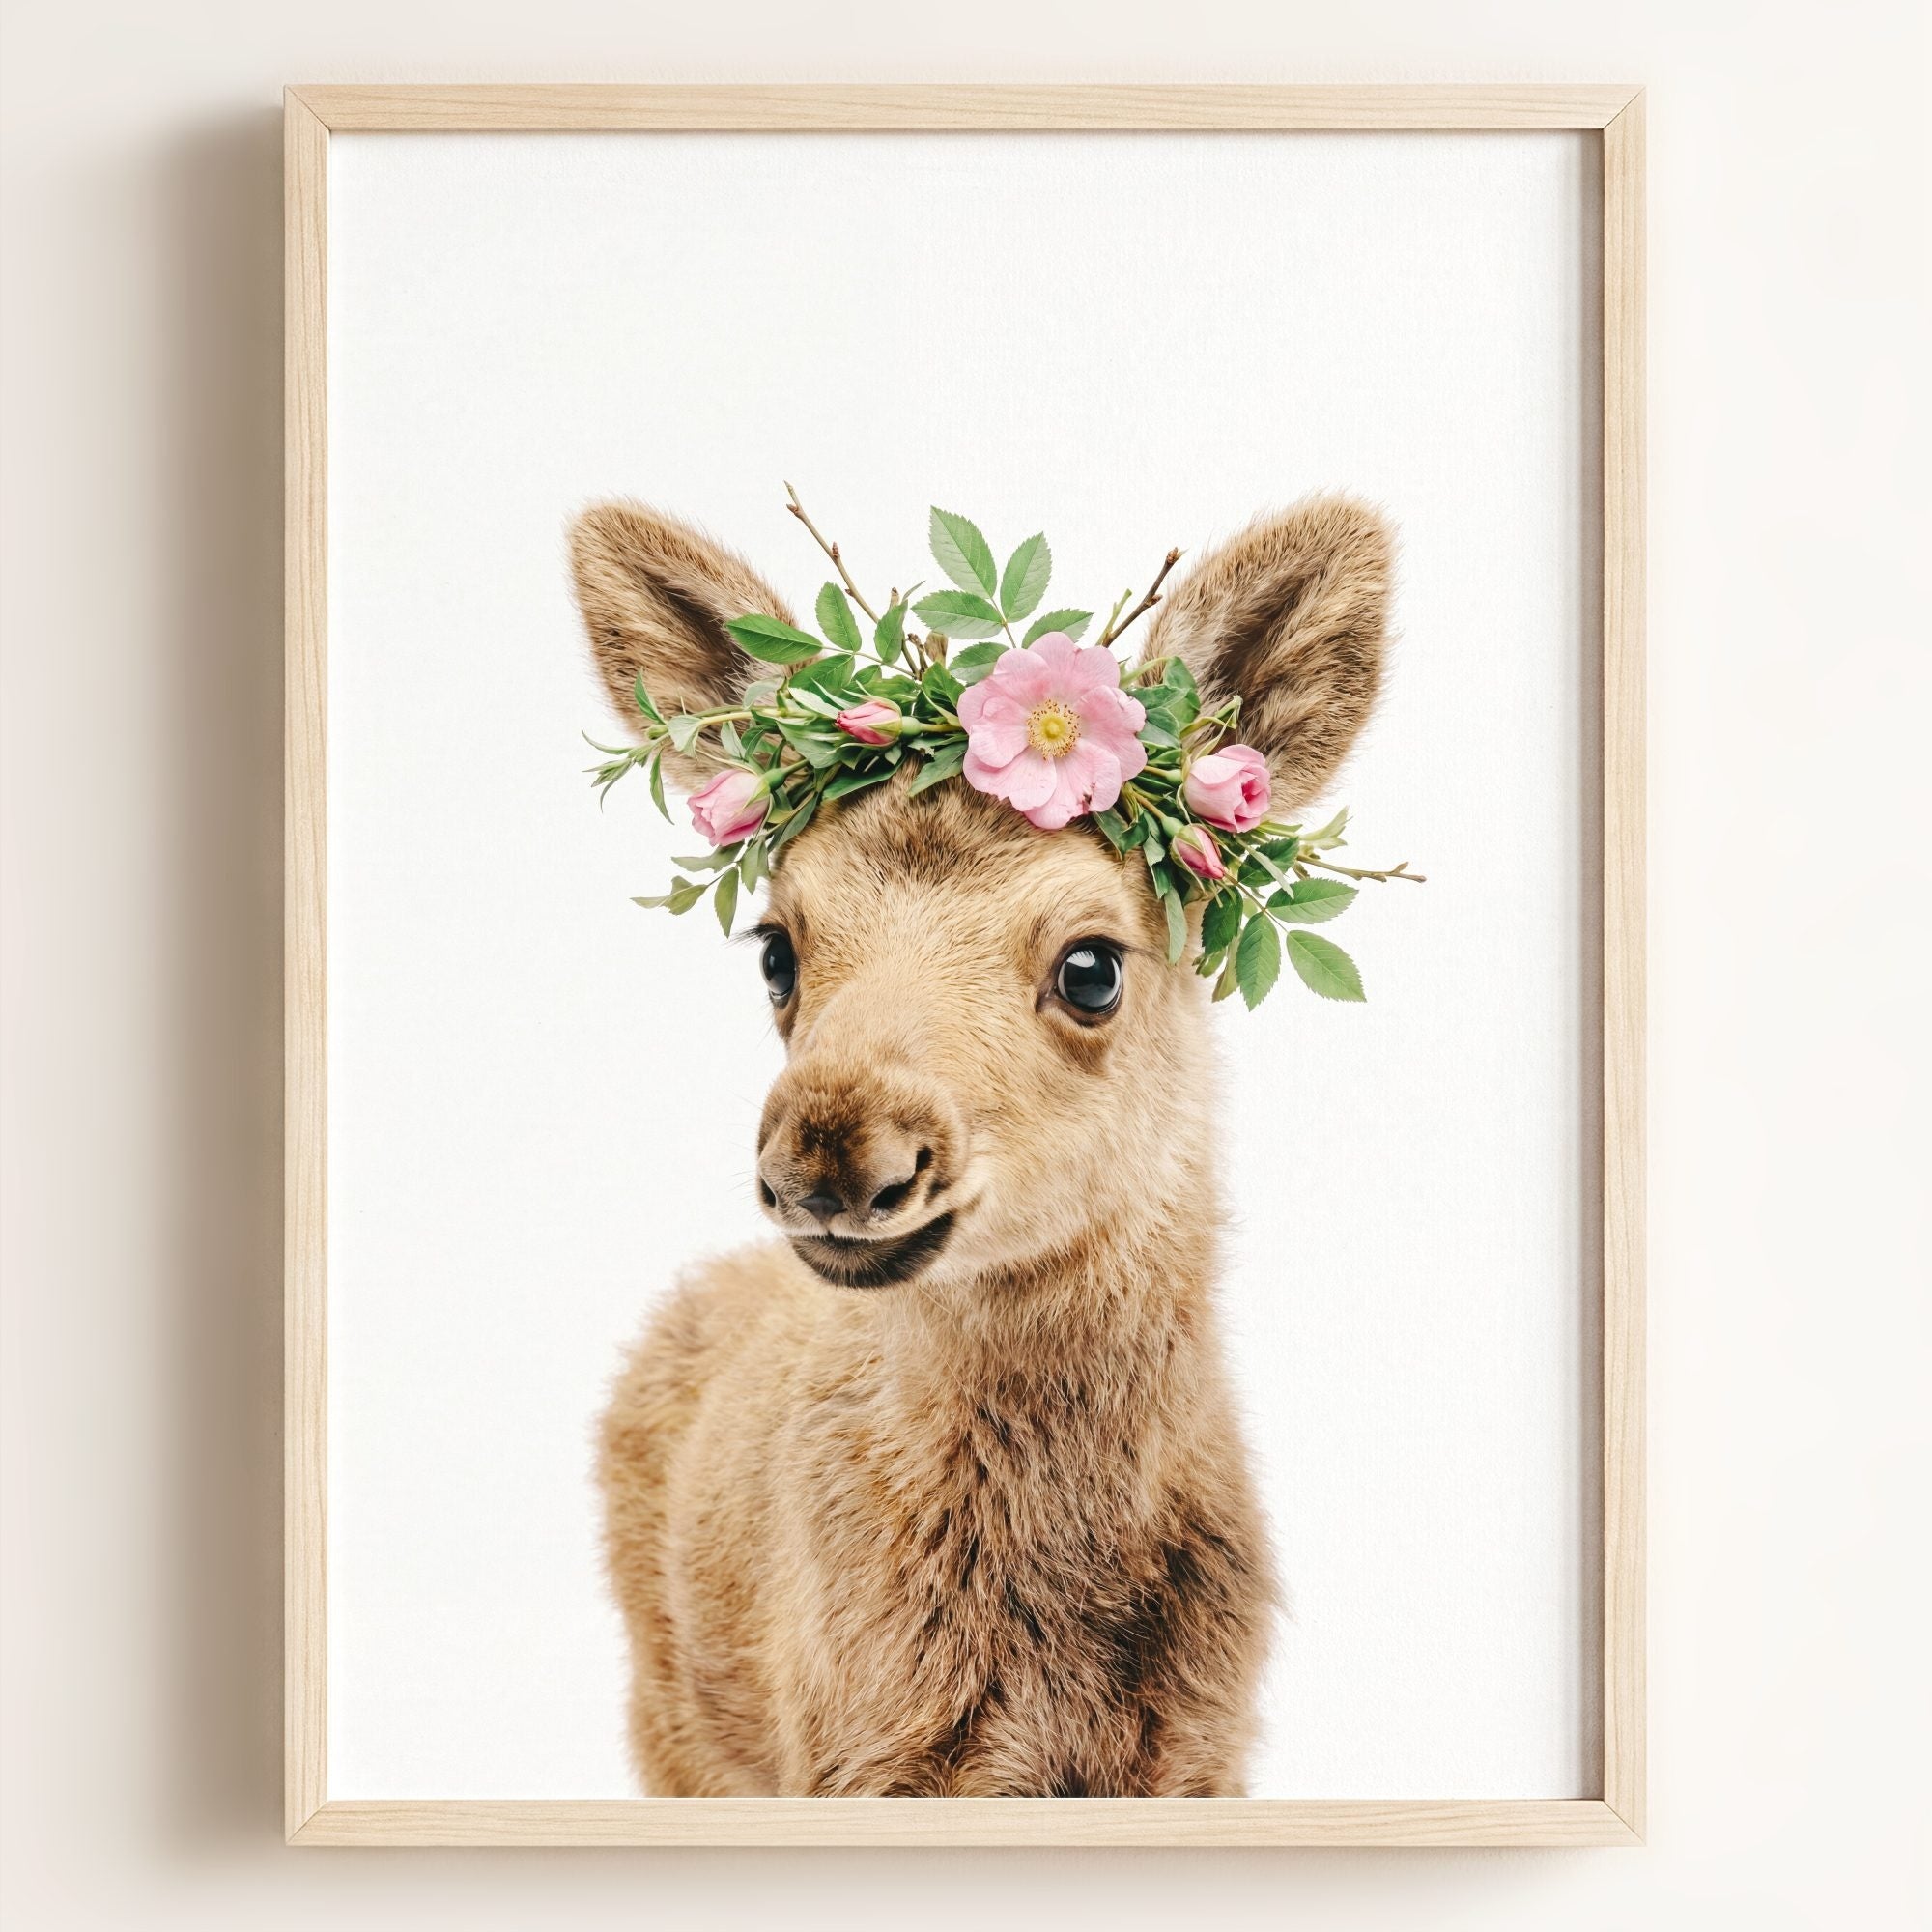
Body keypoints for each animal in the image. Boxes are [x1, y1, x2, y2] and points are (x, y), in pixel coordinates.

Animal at [569, 492, 1393, 1797]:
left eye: (1091, 964)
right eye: (777, 948)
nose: (833, 1151)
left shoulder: (1201, 1753)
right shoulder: (852, 1754)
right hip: (672, 1720)